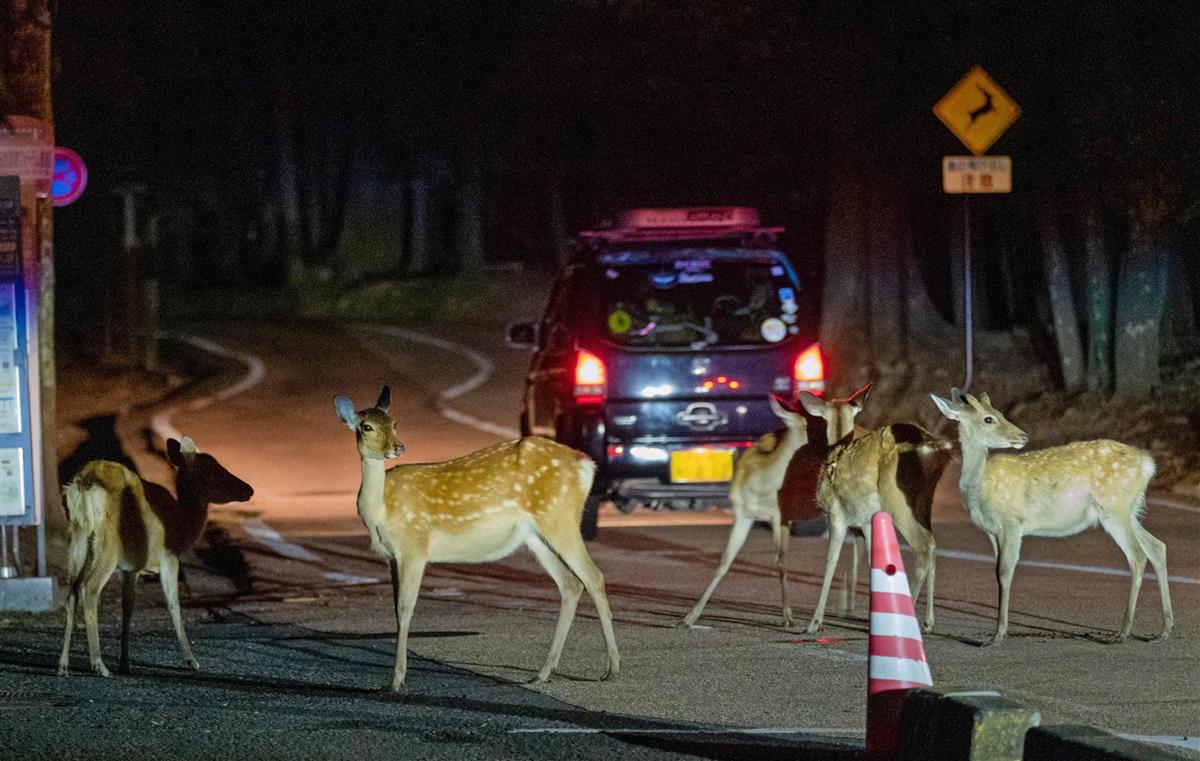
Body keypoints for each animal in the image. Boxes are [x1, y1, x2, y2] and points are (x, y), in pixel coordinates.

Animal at [57, 439, 253, 676]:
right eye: (213, 470)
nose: (249, 489)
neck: (183, 528)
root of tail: (83, 486)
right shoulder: (168, 557)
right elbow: (173, 604)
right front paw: (191, 660)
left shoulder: (129, 569)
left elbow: (128, 608)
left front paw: (125, 663)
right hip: (108, 546)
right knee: (89, 589)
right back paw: (99, 664)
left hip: (78, 540)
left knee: (72, 593)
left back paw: (63, 665)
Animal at [336, 384, 619, 686]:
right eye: (366, 426)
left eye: (394, 423)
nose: (398, 447)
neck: (380, 511)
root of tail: (586, 464)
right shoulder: (392, 556)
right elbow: (396, 610)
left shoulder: (414, 546)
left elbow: (405, 608)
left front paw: (396, 681)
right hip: (536, 534)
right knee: (570, 584)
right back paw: (542, 673)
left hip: (560, 517)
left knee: (593, 577)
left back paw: (612, 668)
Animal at [681, 384, 868, 628]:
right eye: (816, 424)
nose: (839, 446)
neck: (760, 486)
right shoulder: (743, 515)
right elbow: (725, 561)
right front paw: (689, 616)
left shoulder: (781, 516)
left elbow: (780, 562)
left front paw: (788, 616)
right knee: (859, 543)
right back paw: (849, 606)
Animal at [801, 403, 950, 633]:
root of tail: (932, 448)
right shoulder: (867, 521)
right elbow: (875, 560)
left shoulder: (837, 515)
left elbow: (831, 561)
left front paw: (814, 623)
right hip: (924, 503)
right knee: (933, 545)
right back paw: (928, 622)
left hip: (897, 500)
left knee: (924, 547)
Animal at [926, 388, 1171, 643]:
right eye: (989, 418)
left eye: (999, 413)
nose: (1022, 435)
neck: (980, 483)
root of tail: (1148, 464)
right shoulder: (993, 531)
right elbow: (997, 572)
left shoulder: (1012, 522)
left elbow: (1005, 572)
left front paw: (998, 635)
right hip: (1127, 511)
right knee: (1157, 547)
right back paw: (1164, 630)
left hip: (1114, 509)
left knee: (1138, 556)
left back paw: (1123, 632)